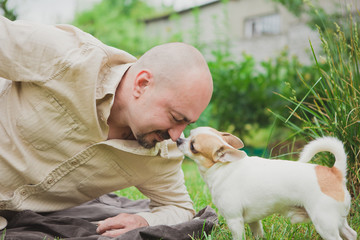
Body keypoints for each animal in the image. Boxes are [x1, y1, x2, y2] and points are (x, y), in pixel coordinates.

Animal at [176, 126, 356, 239]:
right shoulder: (254, 221)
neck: (222, 167)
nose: (178, 140)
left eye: (193, 146)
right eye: (189, 133)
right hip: (338, 221)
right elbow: (258, 234)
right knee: (351, 233)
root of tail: (335, 172)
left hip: (324, 222)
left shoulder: (234, 220)